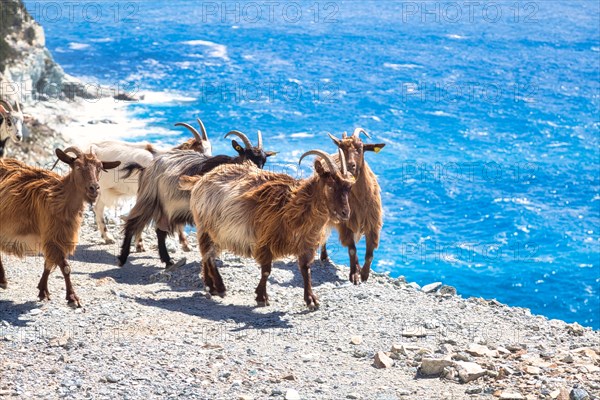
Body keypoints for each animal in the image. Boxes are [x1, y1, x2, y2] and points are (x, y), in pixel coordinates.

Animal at [0, 147, 120, 306]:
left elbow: (49, 264)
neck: (60, 198)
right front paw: (72, 298)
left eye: (99, 167)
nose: (94, 188)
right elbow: (66, 267)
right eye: (77, 166)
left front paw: (43, 291)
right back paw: (3, 280)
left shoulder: (57, 237)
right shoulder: (52, 235)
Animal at [118, 130, 276, 268]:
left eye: (264, 160)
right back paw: (122, 258)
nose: (257, 176)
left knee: (159, 231)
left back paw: (168, 261)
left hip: (165, 207)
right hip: (150, 199)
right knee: (132, 223)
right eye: (248, 156)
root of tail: (147, 168)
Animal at [180, 148, 354, 308]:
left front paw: (311, 300)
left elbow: (306, 270)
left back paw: (211, 285)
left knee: (206, 255)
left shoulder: (306, 245)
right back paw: (219, 286)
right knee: (208, 254)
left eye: (348, 187)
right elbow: (266, 271)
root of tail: (201, 179)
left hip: (215, 231)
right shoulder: (265, 241)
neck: (291, 207)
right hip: (206, 226)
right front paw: (261, 297)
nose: (345, 213)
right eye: (330, 186)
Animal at [322, 129, 386, 284]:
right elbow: (352, 250)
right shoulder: (346, 223)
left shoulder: (372, 223)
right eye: (341, 147)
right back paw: (324, 256)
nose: (350, 165)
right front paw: (354, 275)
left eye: (361, 147)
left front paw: (364, 274)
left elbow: (369, 254)